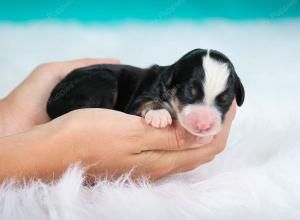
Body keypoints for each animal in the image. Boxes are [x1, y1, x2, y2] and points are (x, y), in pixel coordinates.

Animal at [46, 48, 244, 143]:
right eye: (189, 93)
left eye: (225, 100)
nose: (204, 126)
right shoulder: (139, 99)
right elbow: (147, 103)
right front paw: (159, 115)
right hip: (104, 80)